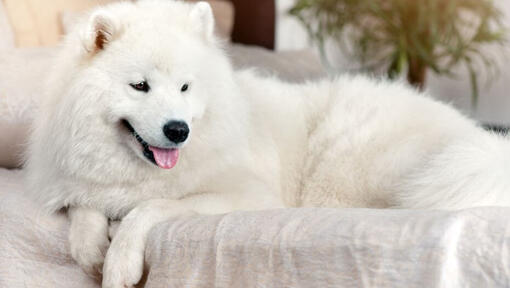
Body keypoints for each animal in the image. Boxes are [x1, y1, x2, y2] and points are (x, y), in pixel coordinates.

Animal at [24, 0, 510, 288]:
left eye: (185, 87)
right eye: (140, 86)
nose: (178, 129)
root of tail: (476, 143)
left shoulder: (245, 194)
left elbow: (151, 207)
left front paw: (119, 262)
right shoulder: (78, 182)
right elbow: (83, 209)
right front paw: (91, 249)